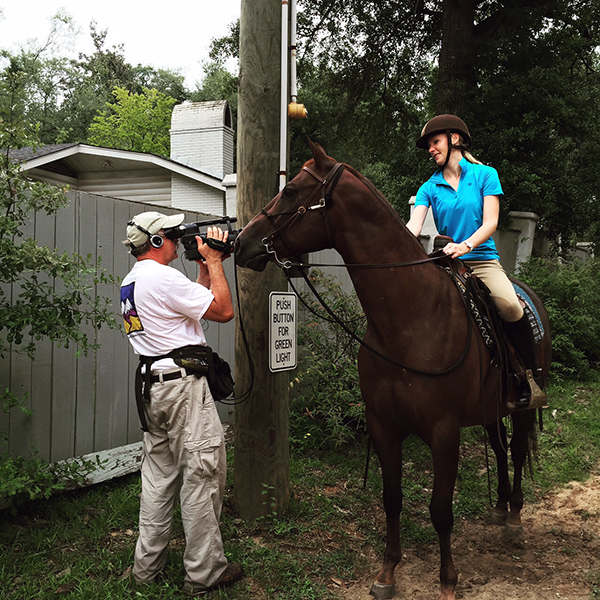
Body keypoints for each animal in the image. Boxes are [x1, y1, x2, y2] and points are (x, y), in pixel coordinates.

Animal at [232, 139, 552, 600]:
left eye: (290, 191)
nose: (241, 242)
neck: (411, 319)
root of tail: (529, 295)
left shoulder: (443, 432)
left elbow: (440, 509)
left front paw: (447, 580)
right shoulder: (384, 425)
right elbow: (392, 498)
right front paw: (387, 572)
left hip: (523, 404)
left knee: (519, 445)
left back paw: (514, 517)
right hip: (491, 410)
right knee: (499, 446)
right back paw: (500, 505)